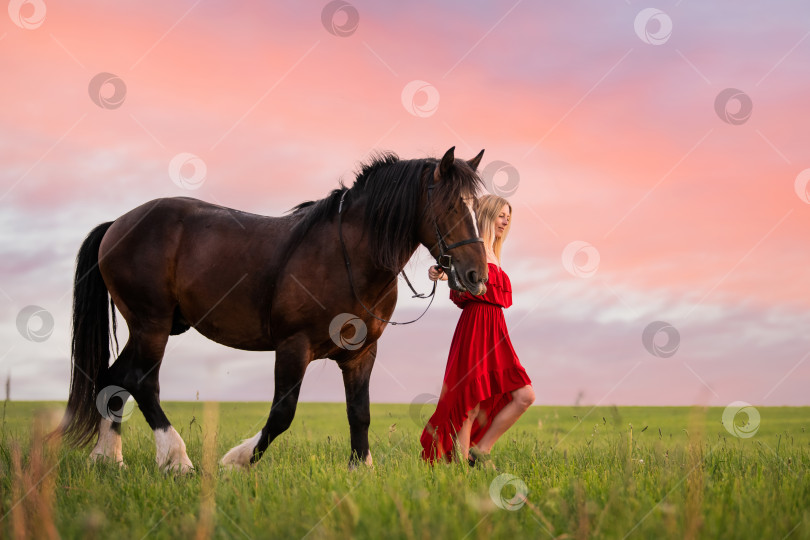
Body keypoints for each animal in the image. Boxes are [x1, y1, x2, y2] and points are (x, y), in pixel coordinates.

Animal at [58, 146, 486, 470]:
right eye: (450, 206)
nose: (476, 274)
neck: (346, 255)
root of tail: (118, 223)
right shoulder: (294, 346)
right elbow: (282, 414)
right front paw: (237, 461)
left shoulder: (361, 354)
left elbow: (359, 412)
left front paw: (360, 468)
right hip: (153, 325)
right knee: (141, 382)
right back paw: (176, 459)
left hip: (152, 326)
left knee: (114, 378)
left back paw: (107, 458)